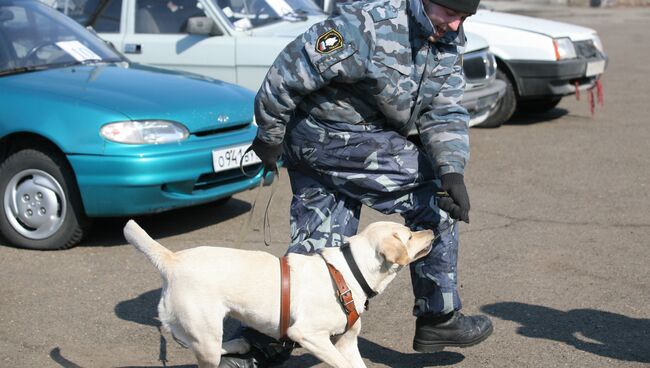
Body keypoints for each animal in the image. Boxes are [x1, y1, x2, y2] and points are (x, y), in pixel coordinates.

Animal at [124, 220, 432, 368]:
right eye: (409, 235)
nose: (430, 229)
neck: (349, 271)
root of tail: (172, 259)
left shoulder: (346, 342)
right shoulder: (308, 335)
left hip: (206, 332)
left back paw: (240, 345)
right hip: (204, 331)